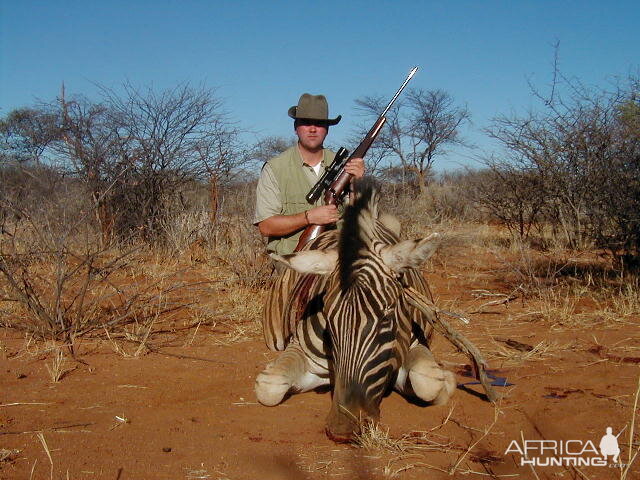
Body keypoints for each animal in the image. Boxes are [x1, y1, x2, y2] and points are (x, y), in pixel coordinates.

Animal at [255, 178, 456, 440]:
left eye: (387, 316)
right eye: (328, 320)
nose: (343, 427)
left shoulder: (415, 345)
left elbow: (428, 382)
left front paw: (447, 381)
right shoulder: (299, 349)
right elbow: (270, 386)